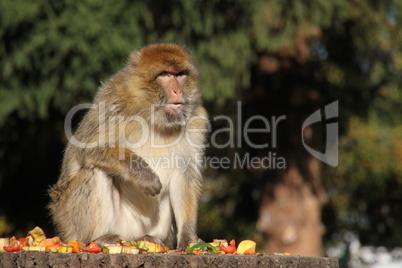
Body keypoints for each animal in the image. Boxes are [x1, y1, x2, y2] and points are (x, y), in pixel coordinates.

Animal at [48, 43, 209, 250]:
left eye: (180, 75)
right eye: (165, 75)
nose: (177, 91)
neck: (153, 115)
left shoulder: (196, 118)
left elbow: (185, 173)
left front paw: (189, 239)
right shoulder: (114, 105)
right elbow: (82, 151)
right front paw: (144, 176)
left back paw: (151, 239)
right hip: (70, 221)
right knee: (95, 170)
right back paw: (98, 239)